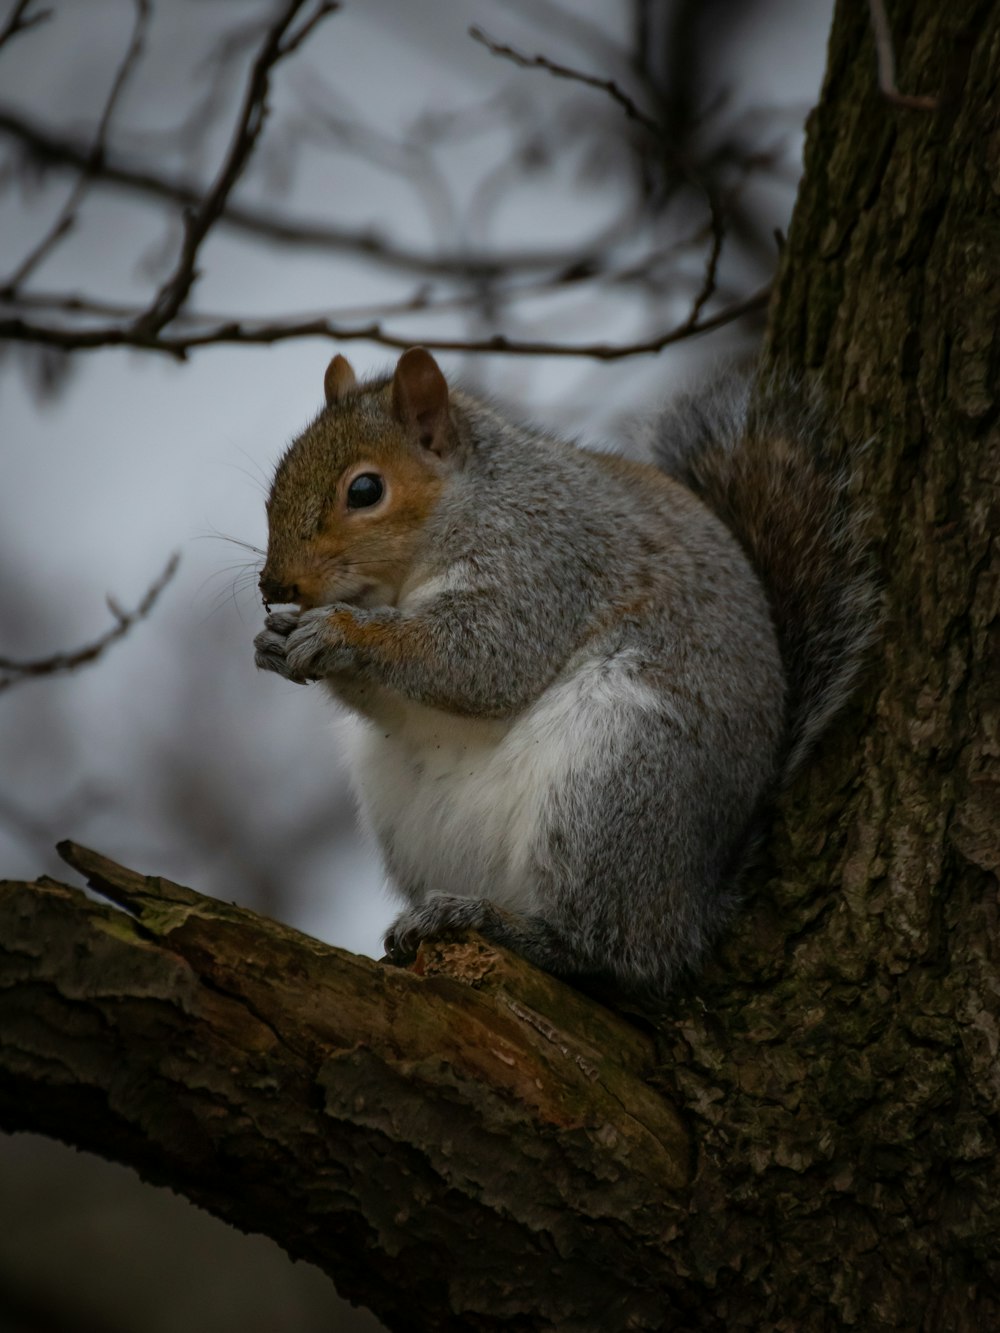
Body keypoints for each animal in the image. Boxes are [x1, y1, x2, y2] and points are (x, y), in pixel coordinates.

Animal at [256, 349, 874, 1002]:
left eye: (365, 490)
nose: (273, 585)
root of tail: (696, 905)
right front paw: (274, 639)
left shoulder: (544, 560)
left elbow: (481, 660)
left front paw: (340, 631)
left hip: (614, 782)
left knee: (610, 951)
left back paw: (495, 923)